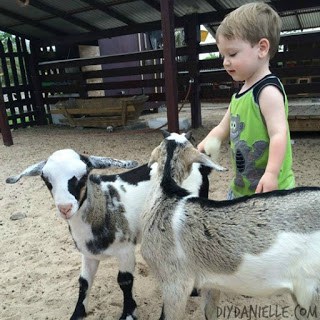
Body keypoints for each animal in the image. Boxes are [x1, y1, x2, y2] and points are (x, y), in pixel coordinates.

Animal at [5, 146, 212, 320]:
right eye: (46, 180)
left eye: (84, 176)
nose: (65, 208)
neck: (103, 205)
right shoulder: (88, 254)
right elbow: (84, 282)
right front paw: (77, 313)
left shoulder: (125, 250)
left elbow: (125, 280)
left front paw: (128, 313)